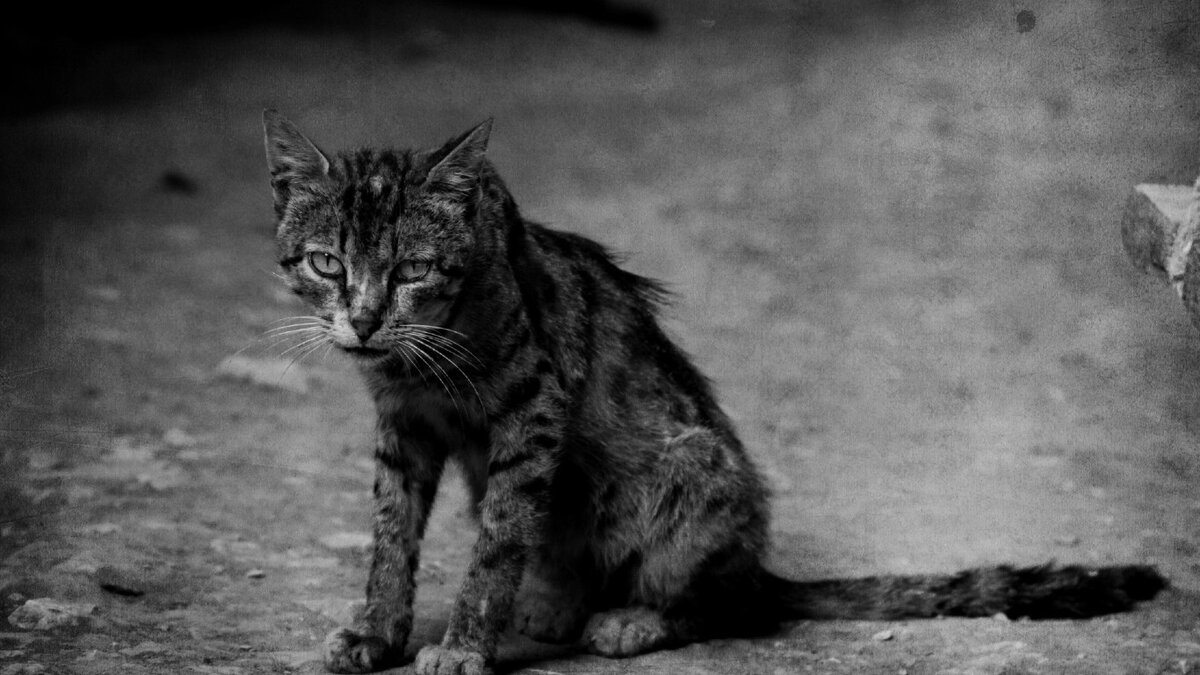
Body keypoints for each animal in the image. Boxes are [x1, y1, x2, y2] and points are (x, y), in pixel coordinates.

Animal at [260, 111, 1161, 672]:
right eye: (327, 262)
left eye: (413, 268)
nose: (365, 320)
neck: (417, 361)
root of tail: (756, 564)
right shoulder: (401, 426)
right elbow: (391, 536)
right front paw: (378, 632)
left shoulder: (532, 413)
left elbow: (497, 542)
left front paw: (463, 642)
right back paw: (555, 602)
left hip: (693, 470)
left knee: (718, 603)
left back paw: (630, 615)